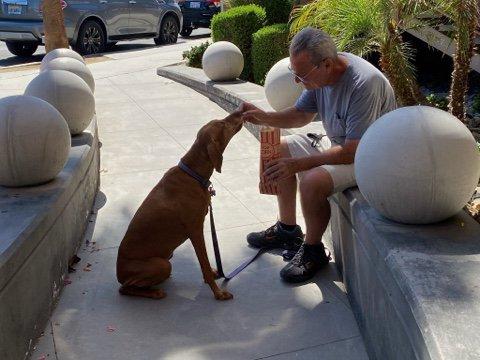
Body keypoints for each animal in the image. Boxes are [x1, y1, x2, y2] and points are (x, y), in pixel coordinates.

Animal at [116, 110, 244, 300]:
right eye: (222, 124)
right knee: (125, 288)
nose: (239, 111)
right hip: (162, 264)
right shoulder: (195, 230)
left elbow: (206, 266)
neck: (193, 174)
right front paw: (218, 293)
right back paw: (154, 293)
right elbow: (204, 265)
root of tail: (118, 273)